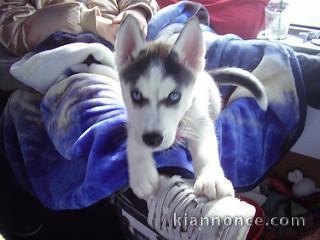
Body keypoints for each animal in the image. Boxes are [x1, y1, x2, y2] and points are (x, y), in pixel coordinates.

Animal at [115, 15, 268, 200]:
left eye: (174, 96)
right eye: (136, 95)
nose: (152, 139)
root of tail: (206, 73)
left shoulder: (200, 120)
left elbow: (206, 149)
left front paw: (211, 178)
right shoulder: (132, 120)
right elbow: (134, 139)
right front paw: (142, 173)